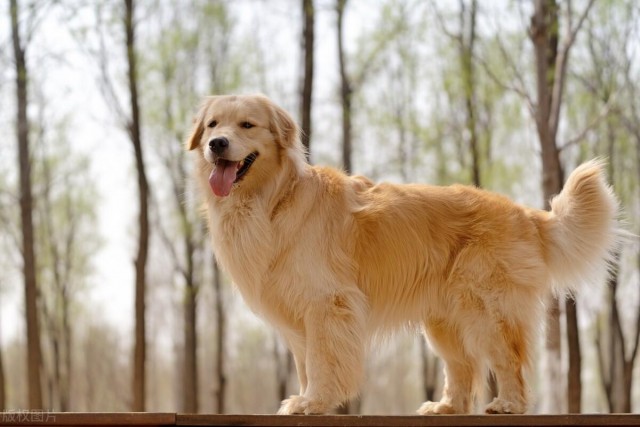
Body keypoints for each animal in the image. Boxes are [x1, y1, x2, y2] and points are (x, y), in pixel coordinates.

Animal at [188, 95, 616, 416]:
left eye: (247, 125)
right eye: (212, 125)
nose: (216, 144)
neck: (274, 199)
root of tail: (525, 213)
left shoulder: (328, 304)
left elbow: (323, 360)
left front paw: (316, 401)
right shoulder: (298, 315)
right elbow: (306, 362)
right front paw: (306, 398)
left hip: (488, 308)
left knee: (509, 359)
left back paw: (509, 403)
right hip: (444, 322)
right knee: (463, 368)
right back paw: (446, 407)